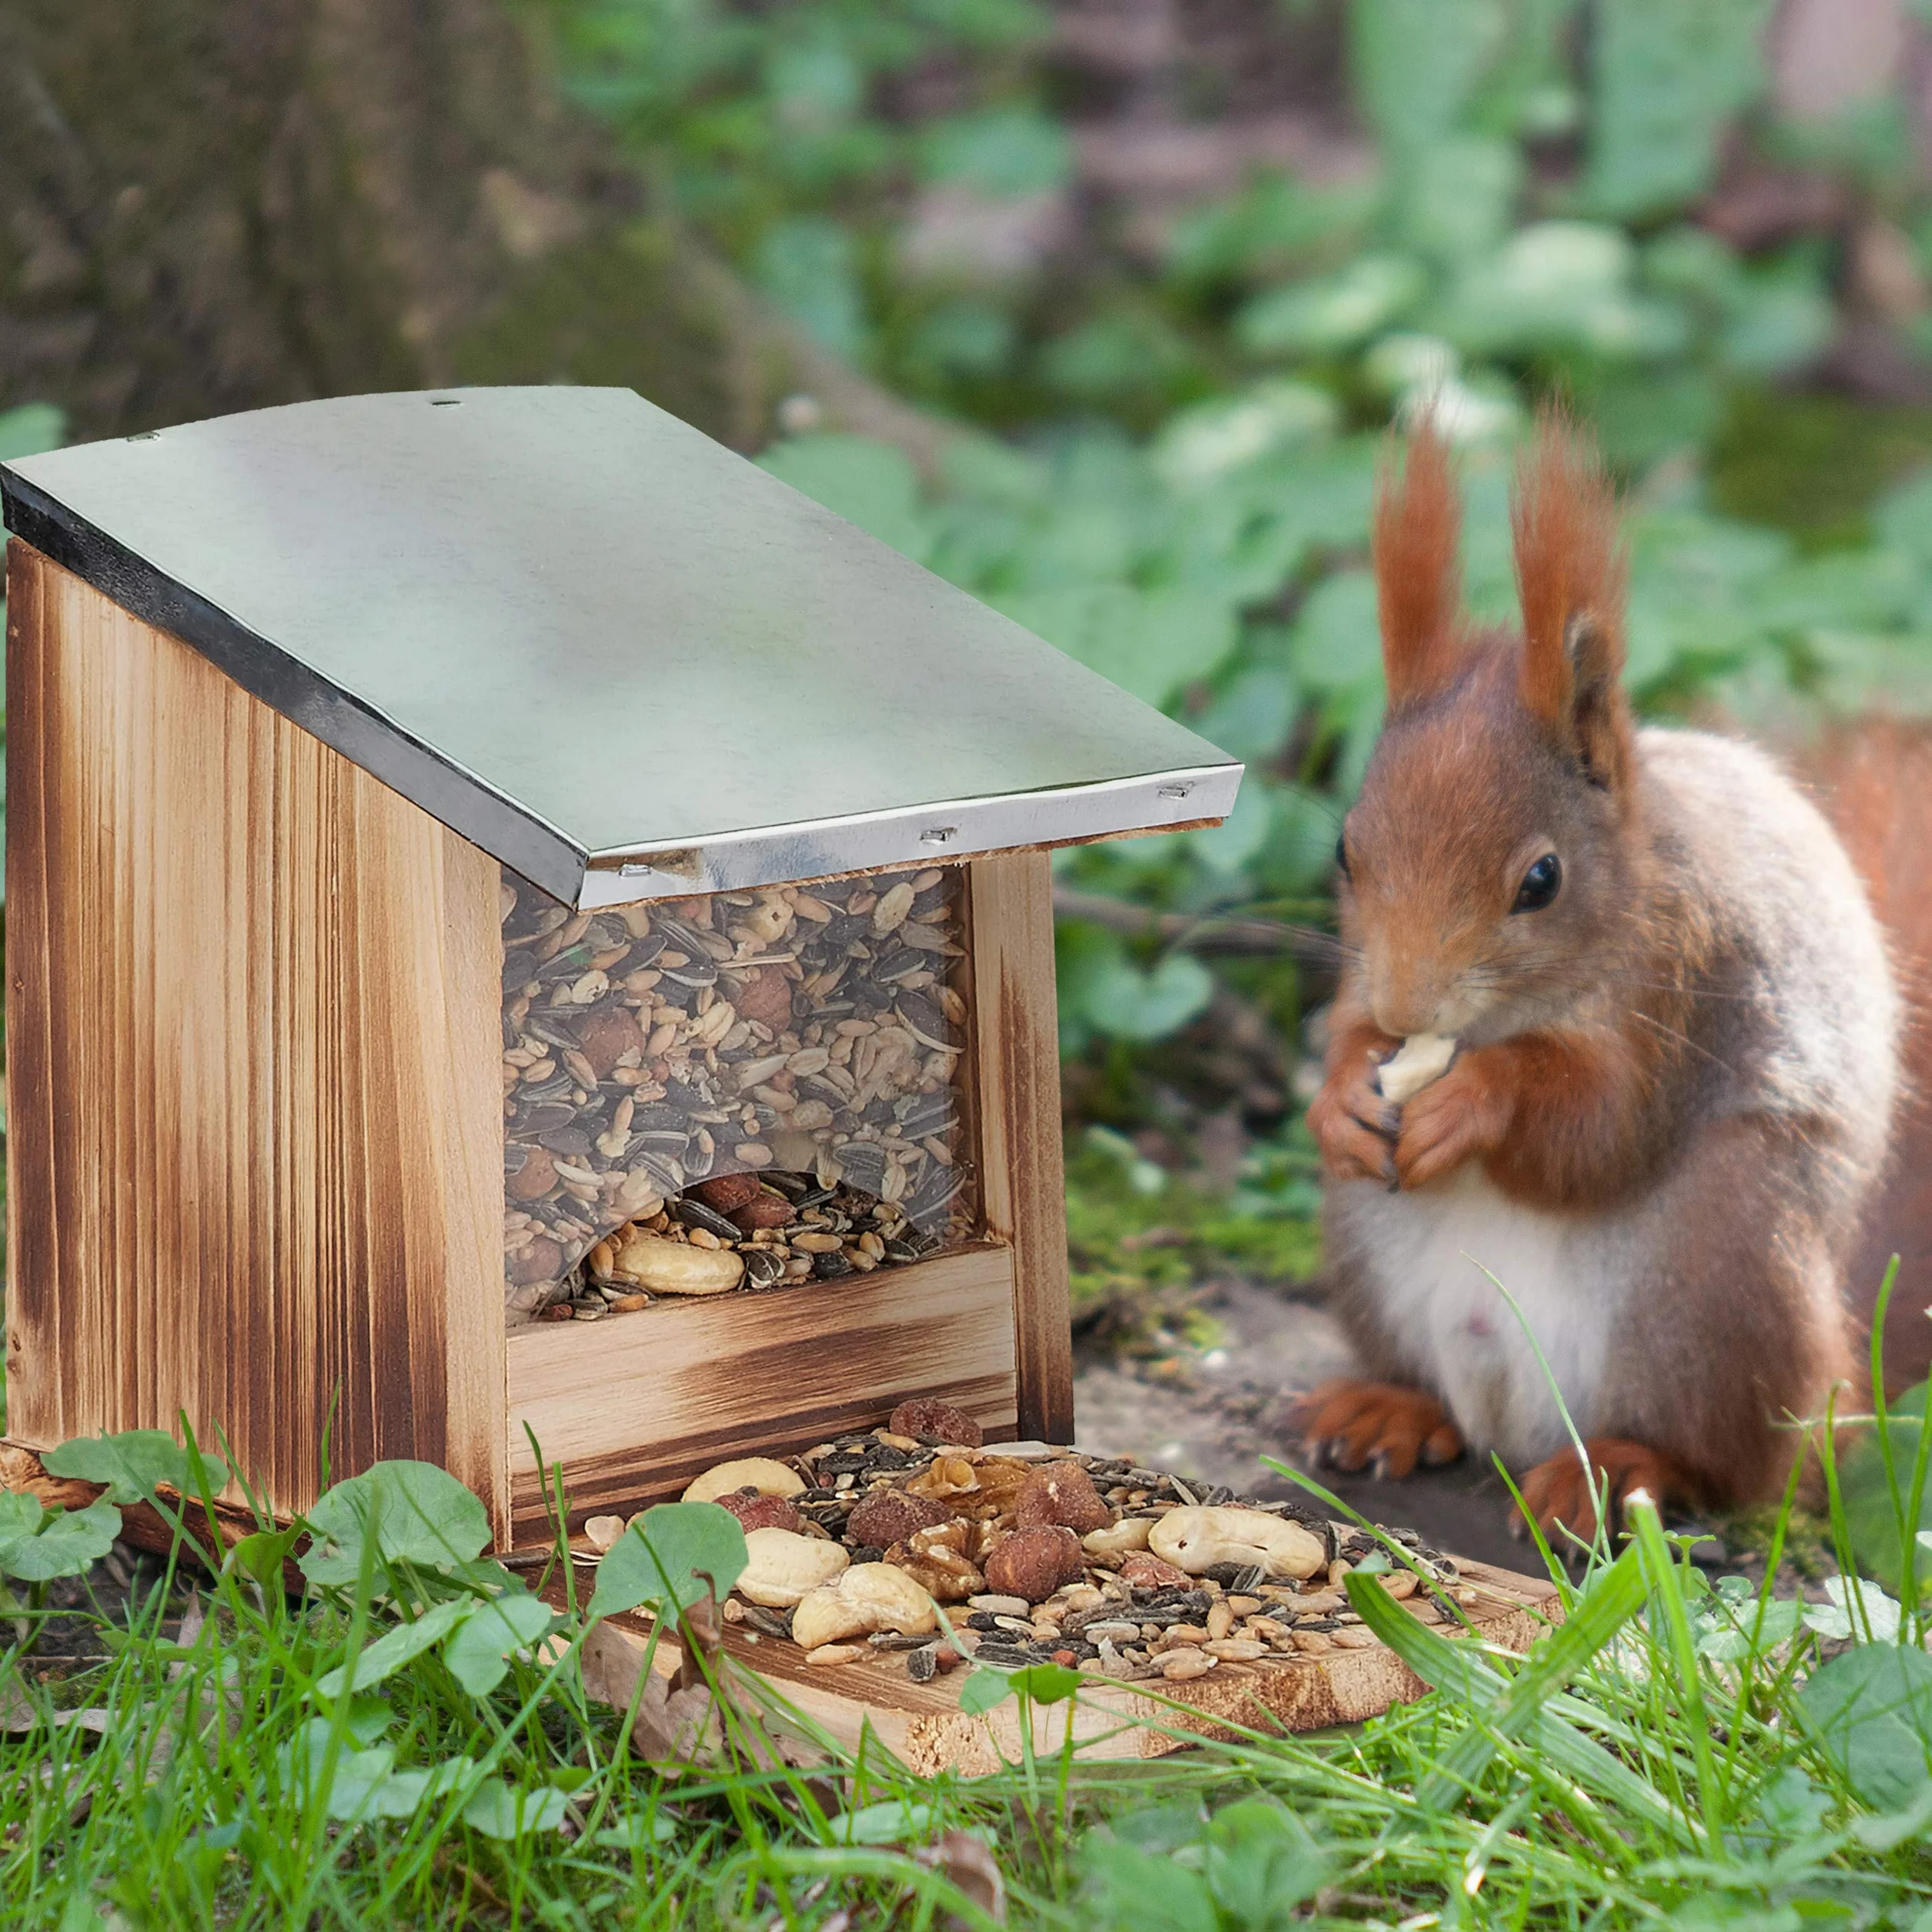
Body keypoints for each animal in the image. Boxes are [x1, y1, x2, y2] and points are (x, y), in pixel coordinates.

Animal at [1291, 408, 1932, 1541]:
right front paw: (1341, 1091)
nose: (1408, 1005)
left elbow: (1601, 1127)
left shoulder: (1683, 973)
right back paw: (1387, 1406)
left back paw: (1617, 1468)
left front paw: (1477, 1097)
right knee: (1431, 1387)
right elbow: (1343, 1028)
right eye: (1343, 850)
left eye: (1540, 880)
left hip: (1720, 1273)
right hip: (1365, 1245)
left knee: (1740, 1466)